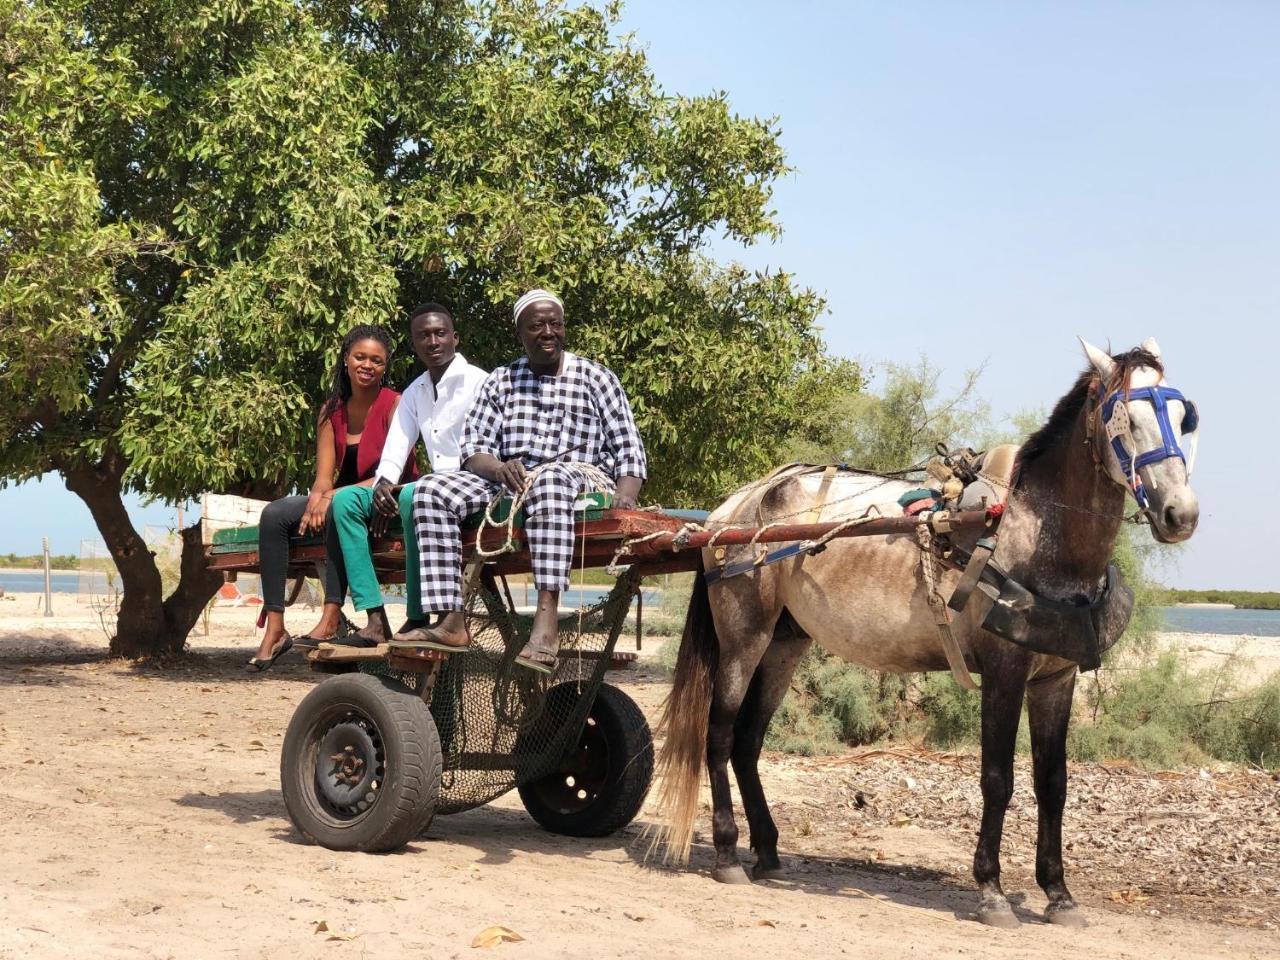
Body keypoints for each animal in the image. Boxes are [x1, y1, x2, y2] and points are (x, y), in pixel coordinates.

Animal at [655, 340, 1203, 931]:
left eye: (1182, 416)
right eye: (1126, 419)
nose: (1181, 514)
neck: (1026, 531)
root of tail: (731, 509)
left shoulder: (1055, 678)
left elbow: (1053, 784)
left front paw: (1059, 893)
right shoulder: (1004, 673)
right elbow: (997, 778)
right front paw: (991, 891)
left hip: (784, 644)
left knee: (749, 742)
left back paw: (768, 851)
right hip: (744, 637)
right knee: (720, 734)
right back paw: (728, 853)